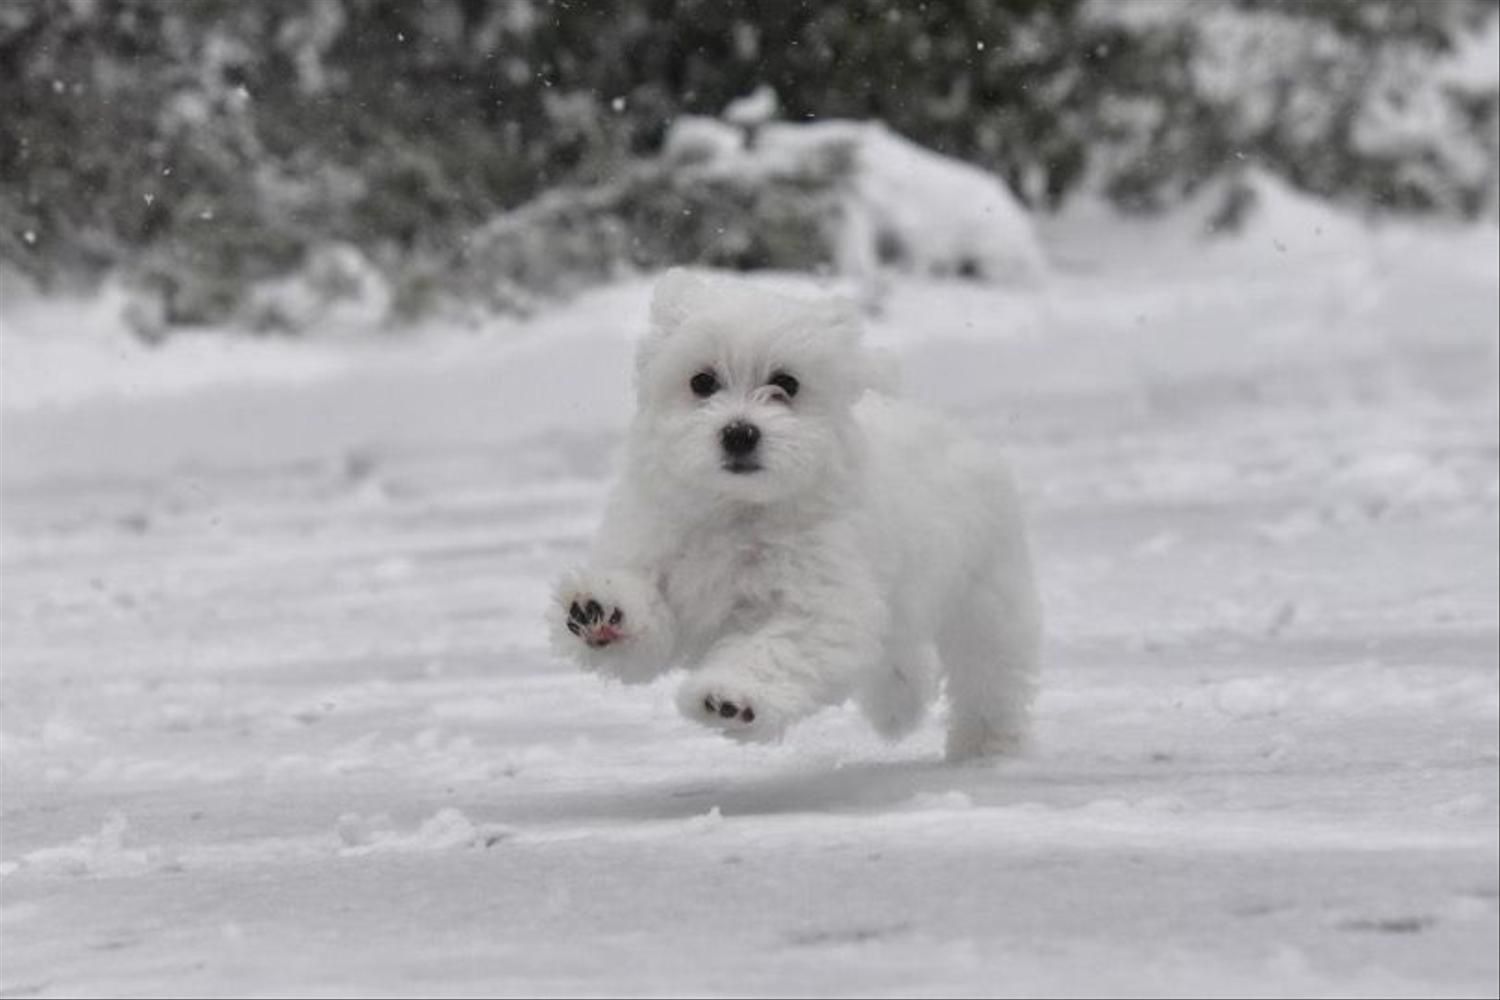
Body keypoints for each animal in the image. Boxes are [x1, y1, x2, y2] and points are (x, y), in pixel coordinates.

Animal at [552, 269, 1044, 761]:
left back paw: (987, 745)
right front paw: (603, 610)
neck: (737, 508)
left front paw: (731, 696)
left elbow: (777, 648)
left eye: (786, 384)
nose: (739, 433)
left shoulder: (821, 602)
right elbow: (648, 618)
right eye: (702, 382)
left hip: (984, 597)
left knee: (989, 674)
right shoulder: (657, 549)